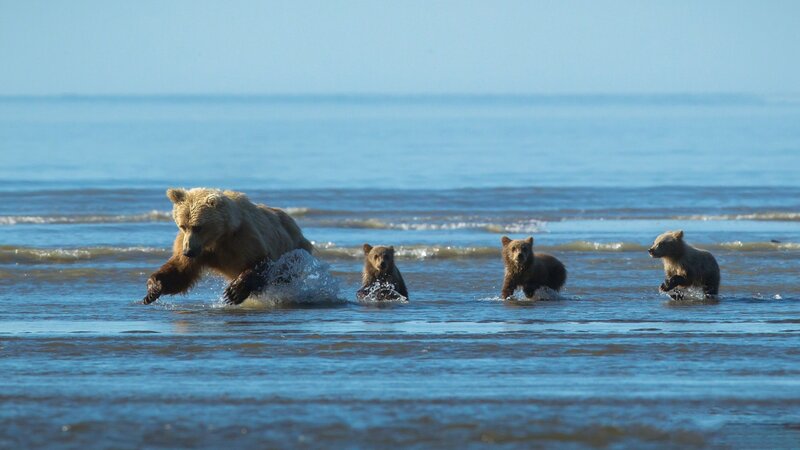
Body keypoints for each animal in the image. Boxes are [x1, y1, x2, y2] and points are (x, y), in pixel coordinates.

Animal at [142, 187, 314, 305]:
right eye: (183, 225)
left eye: (198, 227)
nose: (188, 251)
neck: (218, 237)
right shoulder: (195, 247)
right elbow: (180, 271)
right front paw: (153, 289)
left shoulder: (244, 238)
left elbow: (261, 260)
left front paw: (233, 292)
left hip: (294, 250)